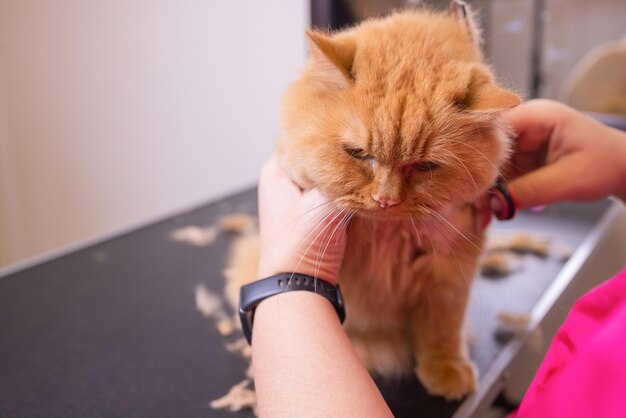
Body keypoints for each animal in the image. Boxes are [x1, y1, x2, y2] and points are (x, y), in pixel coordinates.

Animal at [224, 1, 516, 400]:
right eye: (359, 154)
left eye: (425, 166)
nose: (385, 200)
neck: (388, 236)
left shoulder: (449, 276)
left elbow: (443, 328)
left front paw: (446, 368)